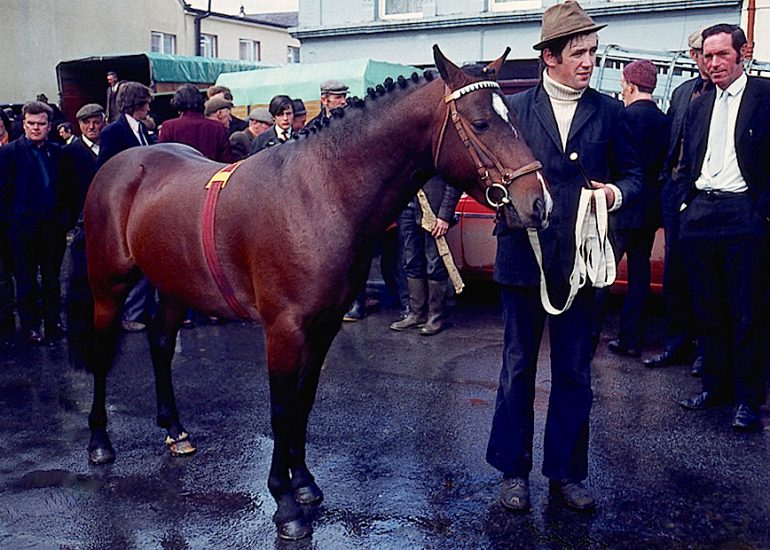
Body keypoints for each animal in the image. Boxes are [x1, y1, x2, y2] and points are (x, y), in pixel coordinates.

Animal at [68, 45, 550, 540]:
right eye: (481, 123)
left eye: (513, 115)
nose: (538, 203)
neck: (318, 192)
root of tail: (122, 163)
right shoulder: (283, 328)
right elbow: (282, 408)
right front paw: (284, 502)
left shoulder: (325, 325)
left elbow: (304, 400)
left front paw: (303, 482)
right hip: (108, 286)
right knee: (103, 354)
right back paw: (100, 441)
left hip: (174, 284)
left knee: (162, 344)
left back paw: (175, 429)